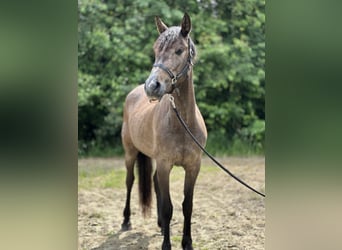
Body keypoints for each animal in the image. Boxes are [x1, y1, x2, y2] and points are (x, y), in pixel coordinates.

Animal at [121, 12, 206, 249]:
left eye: (179, 50)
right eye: (155, 50)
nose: (152, 86)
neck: (183, 123)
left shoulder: (193, 167)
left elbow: (187, 205)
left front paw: (187, 243)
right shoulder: (165, 164)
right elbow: (169, 207)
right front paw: (167, 244)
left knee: (154, 183)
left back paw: (159, 226)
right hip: (131, 153)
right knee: (130, 181)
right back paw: (126, 221)